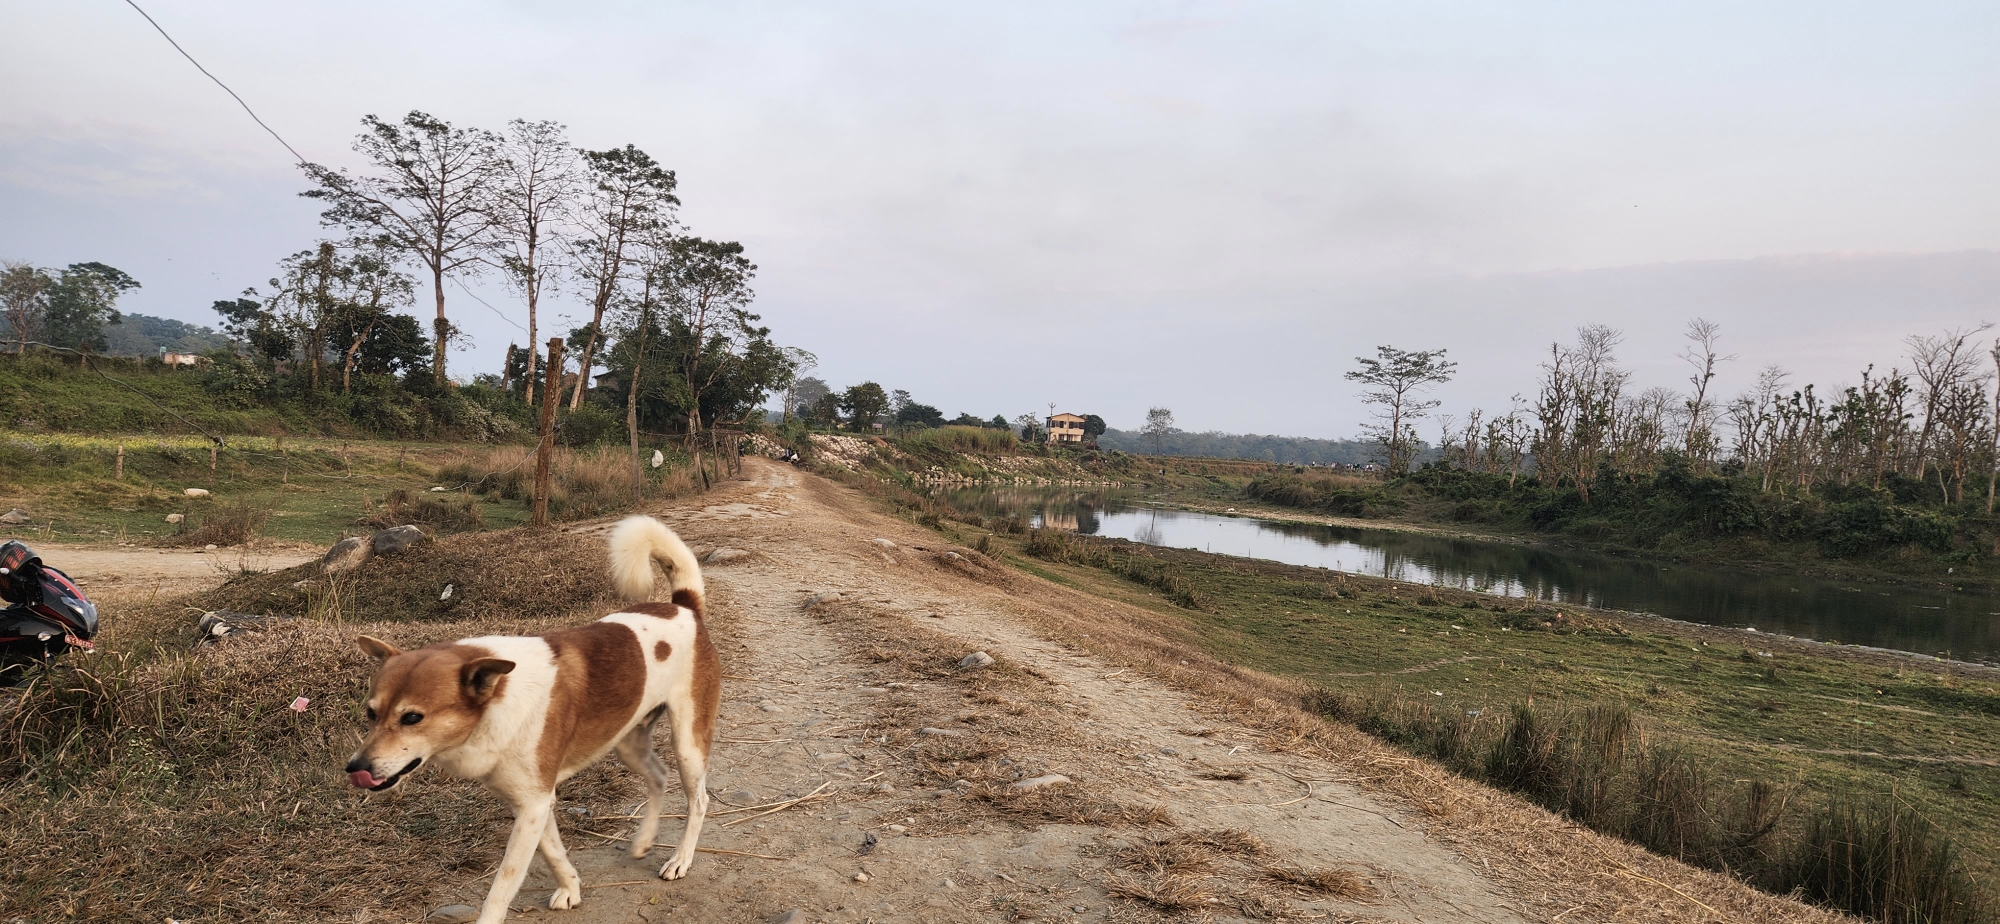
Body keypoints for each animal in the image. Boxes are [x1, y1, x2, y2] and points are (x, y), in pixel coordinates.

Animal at [348, 516, 724, 920]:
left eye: (412, 717)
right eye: (371, 713)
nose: (355, 767)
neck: (497, 701)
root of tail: (684, 607)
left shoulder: (534, 806)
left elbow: (502, 887)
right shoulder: (532, 803)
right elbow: (554, 853)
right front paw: (570, 888)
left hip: (688, 743)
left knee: (699, 801)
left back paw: (680, 859)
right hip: (628, 741)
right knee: (658, 776)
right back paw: (643, 841)